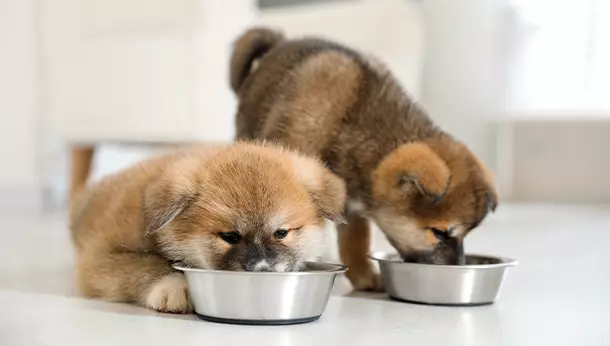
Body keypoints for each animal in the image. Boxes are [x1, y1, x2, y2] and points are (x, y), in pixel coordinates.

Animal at [69, 142, 344, 312]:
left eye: (281, 233)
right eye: (230, 236)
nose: (262, 270)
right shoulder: (100, 257)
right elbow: (146, 265)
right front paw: (174, 284)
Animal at [230, 28, 496, 290]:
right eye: (439, 233)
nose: (459, 265)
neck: (349, 124)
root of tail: (281, 42)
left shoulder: (352, 209)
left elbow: (355, 243)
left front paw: (364, 277)